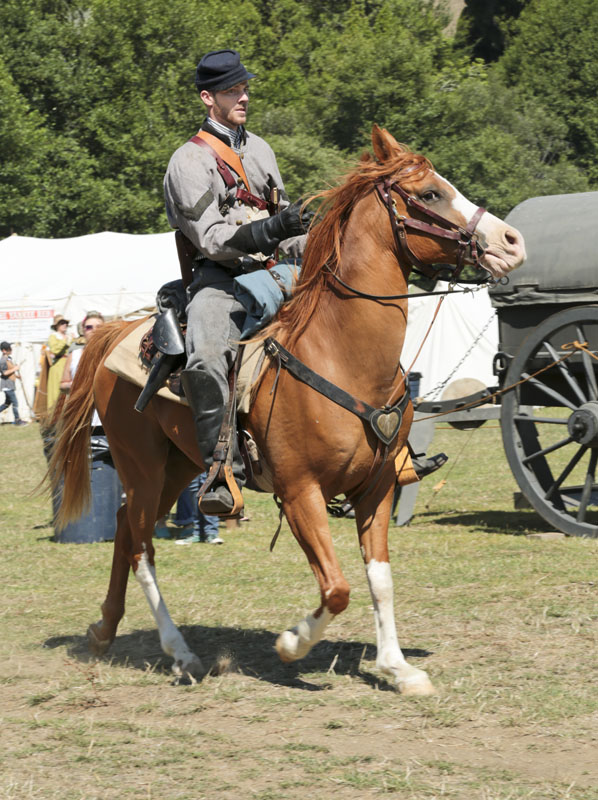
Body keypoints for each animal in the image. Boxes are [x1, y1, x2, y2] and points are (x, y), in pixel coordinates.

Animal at [52, 125, 528, 692]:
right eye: (431, 193)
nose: (512, 242)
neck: (342, 354)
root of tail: (117, 332)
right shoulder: (301, 493)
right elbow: (337, 589)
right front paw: (292, 643)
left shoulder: (376, 489)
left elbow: (379, 579)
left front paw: (396, 667)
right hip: (142, 466)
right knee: (141, 546)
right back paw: (180, 653)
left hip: (177, 466)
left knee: (126, 528)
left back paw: (104, 629)